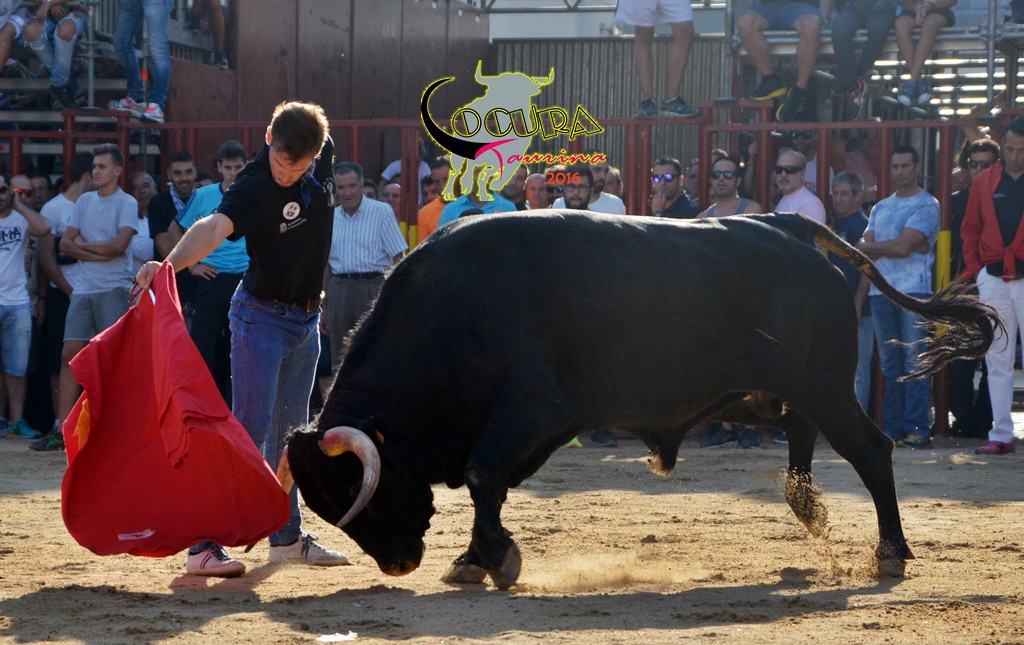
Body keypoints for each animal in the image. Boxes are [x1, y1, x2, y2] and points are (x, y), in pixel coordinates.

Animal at [281, 211, 998, 590]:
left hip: (822, 382)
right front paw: (473, 558)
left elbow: (485, 475)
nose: (398, 563)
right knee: (802, 437)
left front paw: (496, 558)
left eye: (363, 490)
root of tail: (782, 225)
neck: (445, 315)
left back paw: (890, 552)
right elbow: (495, 482)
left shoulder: (535, 410)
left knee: (871, 448)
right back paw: (810, 509)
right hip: (777, 390)